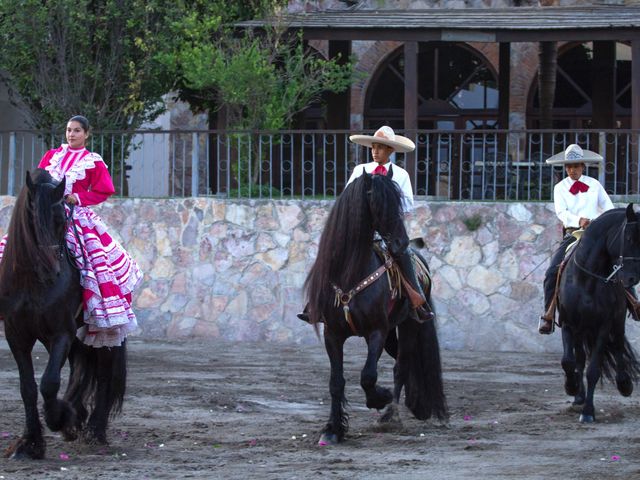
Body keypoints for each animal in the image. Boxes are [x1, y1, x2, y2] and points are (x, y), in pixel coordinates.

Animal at [0, 169, 127, 458]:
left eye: (62, 221)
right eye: (32, 218)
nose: (52, 271)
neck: (32, 282)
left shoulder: (61, 333)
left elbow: (49, 382)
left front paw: (60, 418)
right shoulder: (17, 336)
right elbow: (28, 388)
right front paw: (30, 443)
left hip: (103, 333)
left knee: (103, 375)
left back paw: (94, 431)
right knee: (78, 370)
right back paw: (77, 415)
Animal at [304, 172, 444, 446]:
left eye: (399, 201)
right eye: (378, 203)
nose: (400, 243)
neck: (350, 272)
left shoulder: (375, 331)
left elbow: (368, 375)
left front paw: (380, 398)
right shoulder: (333, 334)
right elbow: (336, 382)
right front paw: (333, 429)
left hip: (408, 326)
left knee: (402, 365)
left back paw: (392, 415)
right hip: (391, 334)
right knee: (401, 361)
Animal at [556, 204, 640, 422]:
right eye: (629, 238)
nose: (631, 278)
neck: (587, 279)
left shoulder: (604, 326)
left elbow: (593, 369)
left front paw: (588, 412)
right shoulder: (568, 323)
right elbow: (568, 361)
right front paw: (571, 387)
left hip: (616, 323)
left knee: (618, 345)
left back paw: (624, 384)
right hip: (581, 330)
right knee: (578, 359)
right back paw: (578, 395)